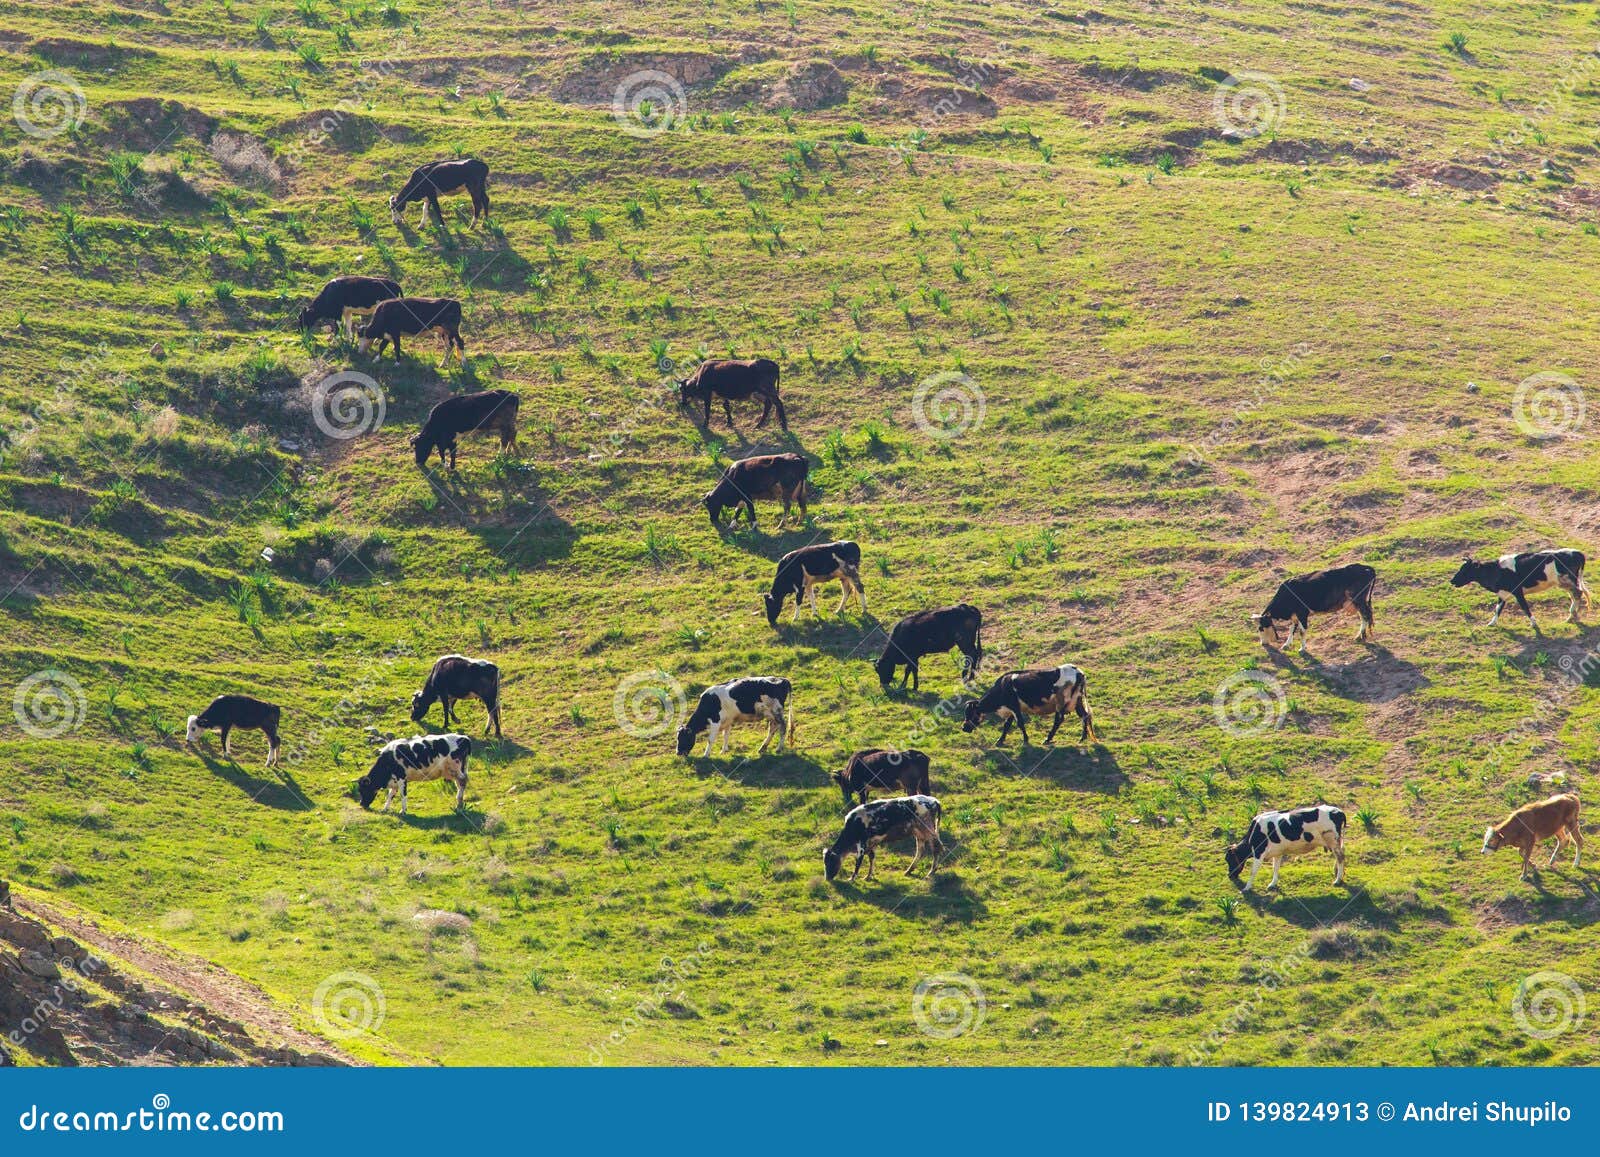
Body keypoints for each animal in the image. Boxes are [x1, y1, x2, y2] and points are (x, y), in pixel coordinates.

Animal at [961, 664, 1096, 746]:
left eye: (971, 713)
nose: (963, 728)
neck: (1002, 687)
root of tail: (1077, 671)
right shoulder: (1011, 709)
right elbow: (1007, 725)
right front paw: (1000, 741)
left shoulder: (1014, 707)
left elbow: (1020, 723)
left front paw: (1025, 740)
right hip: (1077, 701)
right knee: (1084, 715)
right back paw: (1082, 738)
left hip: (1061, 703)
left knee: (1059, 720)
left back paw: (1047, 739)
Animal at [1450, 550, 1590, 628]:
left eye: (1465, 570)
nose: (1452, 580)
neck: (1497, 570)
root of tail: (1578, 553)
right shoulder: (1502, 594)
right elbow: (1498, 609)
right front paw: (1492, 623)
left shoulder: (1517, 592)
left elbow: (1524, 607)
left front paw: (1534, 623)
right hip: (1566, 583)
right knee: (1575, 595)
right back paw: (1573, 615)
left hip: (1567, 580)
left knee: (1578, 593)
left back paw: (1571, 615)